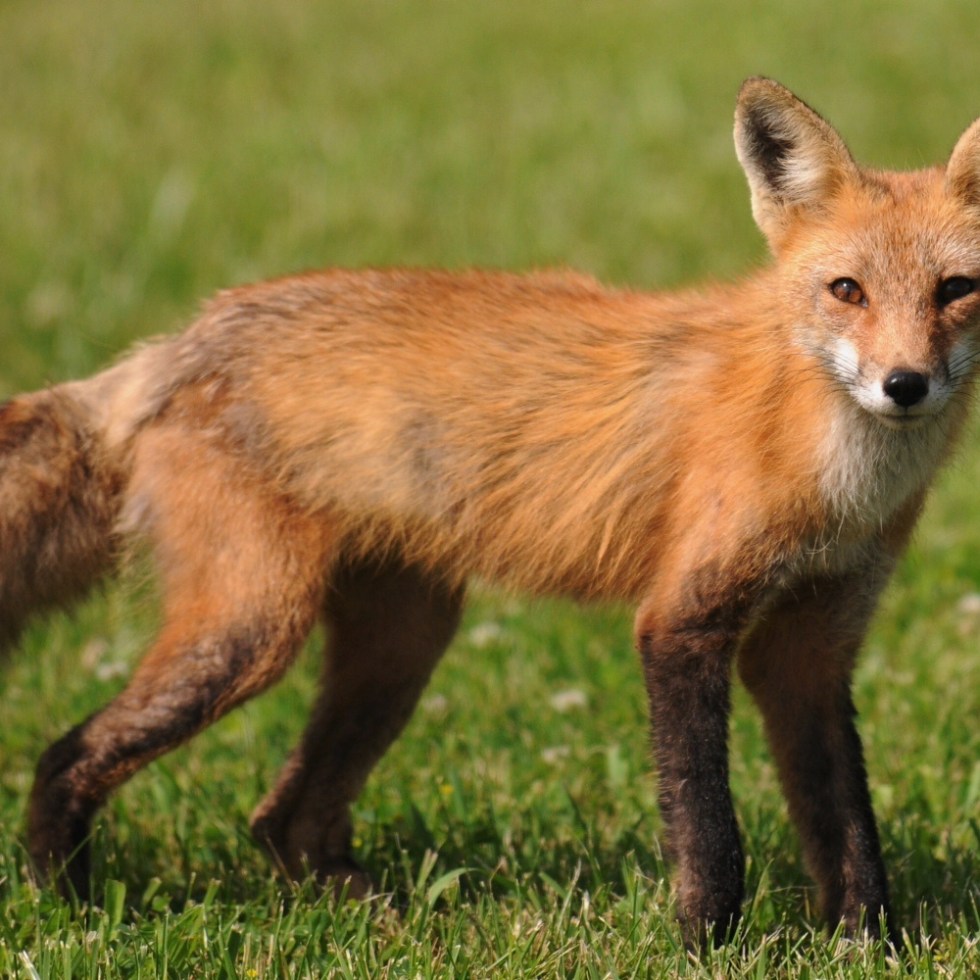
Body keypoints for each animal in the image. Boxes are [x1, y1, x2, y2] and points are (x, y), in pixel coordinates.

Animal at [3, 77, 980, 947]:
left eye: (955, 290)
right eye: (847, 290)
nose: (904, 385)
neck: (834, 481)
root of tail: (170, 346)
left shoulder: (811, 644)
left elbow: (846, 826)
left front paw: (867, 943)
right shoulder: (681, 621)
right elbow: (708, 827)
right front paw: (709, 944)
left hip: (400, 646)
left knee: (284, 819)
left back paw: (375, 919)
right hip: (249, 633)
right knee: (64, 759)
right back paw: (70, 909)